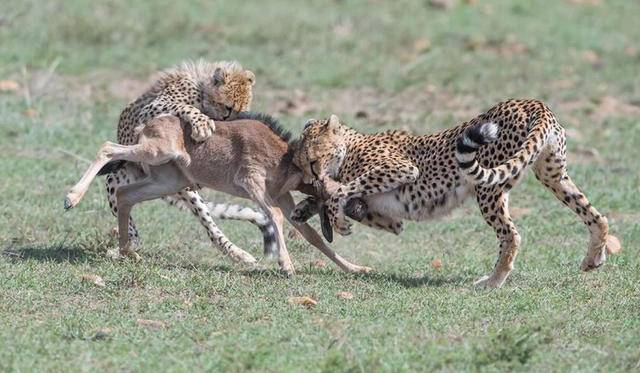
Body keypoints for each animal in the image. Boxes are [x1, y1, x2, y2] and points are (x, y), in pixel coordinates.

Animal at [292, 99, 620, 288]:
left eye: (312, 160)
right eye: (301, 164)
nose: (310, 177)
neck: (351, 145)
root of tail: (532, 103)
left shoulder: (401, 170)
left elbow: (342, 191)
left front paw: (336, 218)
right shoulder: (391, 219)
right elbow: (343, 199)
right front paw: (305, 208)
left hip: (489, 185)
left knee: (511, 235)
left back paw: (491, 282)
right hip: (551, 174)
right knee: (595, 215)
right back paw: (594, 256)